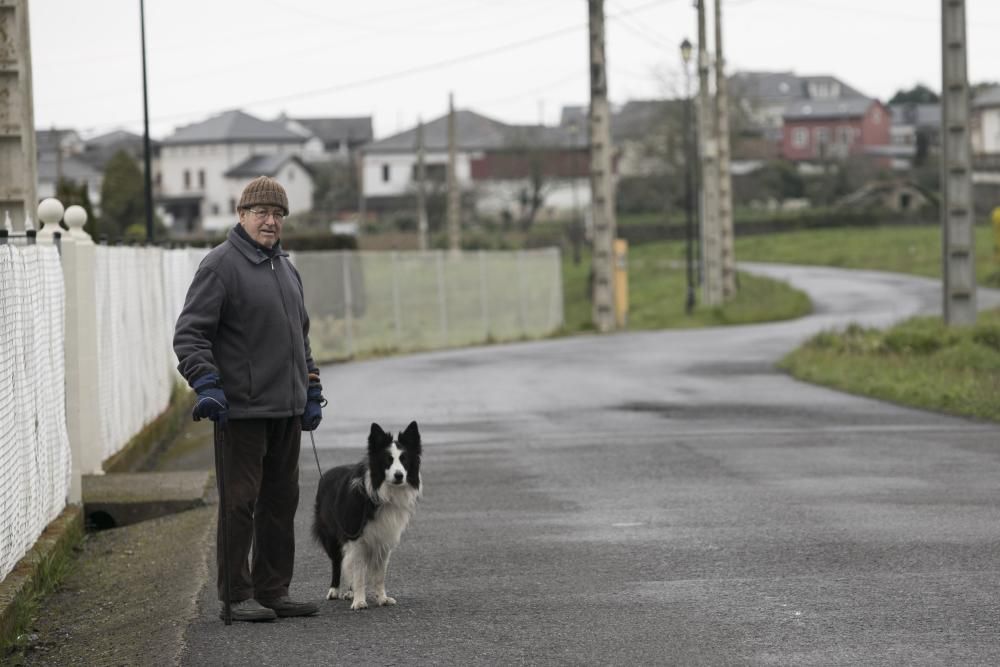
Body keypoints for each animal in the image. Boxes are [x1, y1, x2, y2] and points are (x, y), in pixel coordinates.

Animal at [312, 422, 422, 612]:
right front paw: (359, 601)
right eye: (388, 460)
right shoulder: (356, 538)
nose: (399, 475)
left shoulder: (384, 539)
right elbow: (358, 573)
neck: (382, 493)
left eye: (404, 459)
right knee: (337, 562)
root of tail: (325, 474)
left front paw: (382, 599)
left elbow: (379, 575)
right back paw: (334, 590)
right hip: (331, 535)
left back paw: (349, 592)